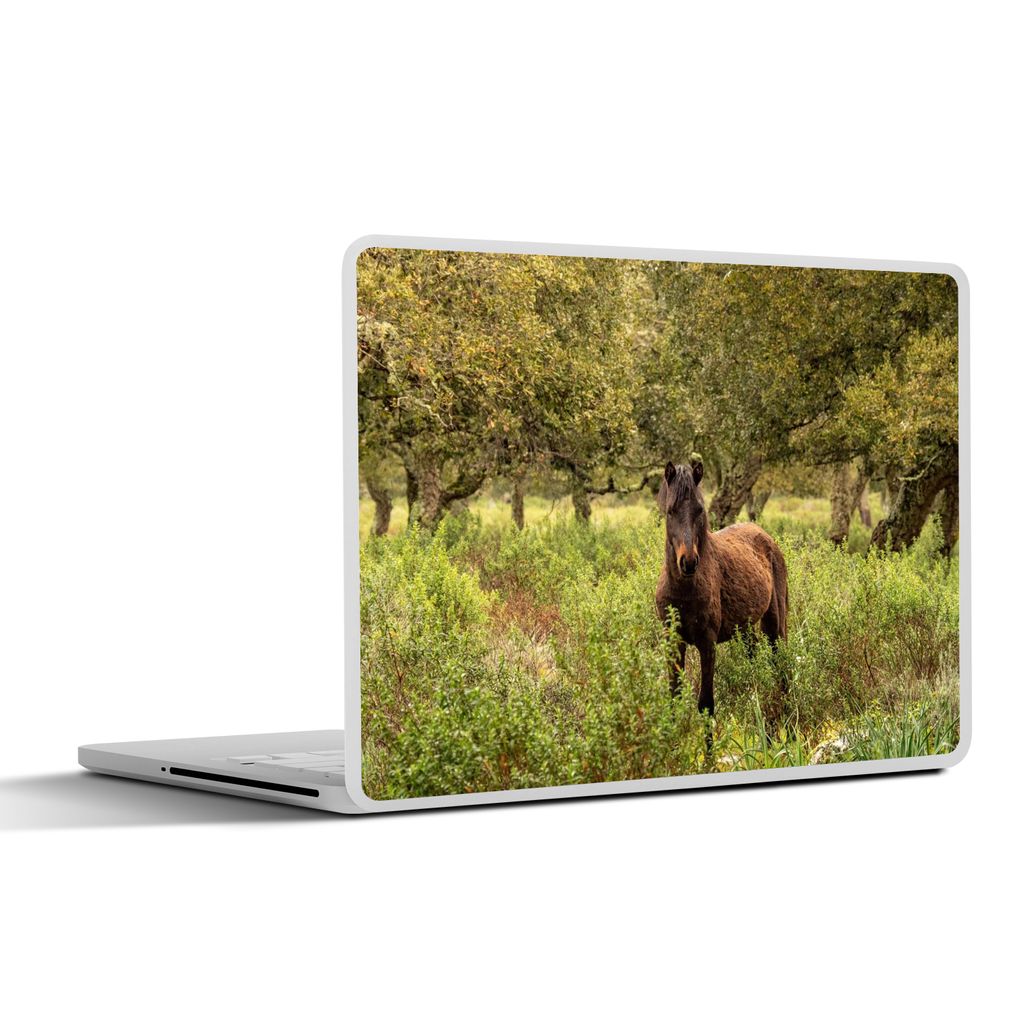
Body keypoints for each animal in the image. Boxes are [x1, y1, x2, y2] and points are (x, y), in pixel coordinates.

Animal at [654, 458, 788, 719]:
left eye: (699, 510)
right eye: (670, 511)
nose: (688, 562)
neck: (683, 590)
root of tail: (766, 537)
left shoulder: (708, 643)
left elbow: (706, 704)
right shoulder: (673, 641)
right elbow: (674, 698)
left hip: (774, 624)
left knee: (781, 667)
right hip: (746, 630)